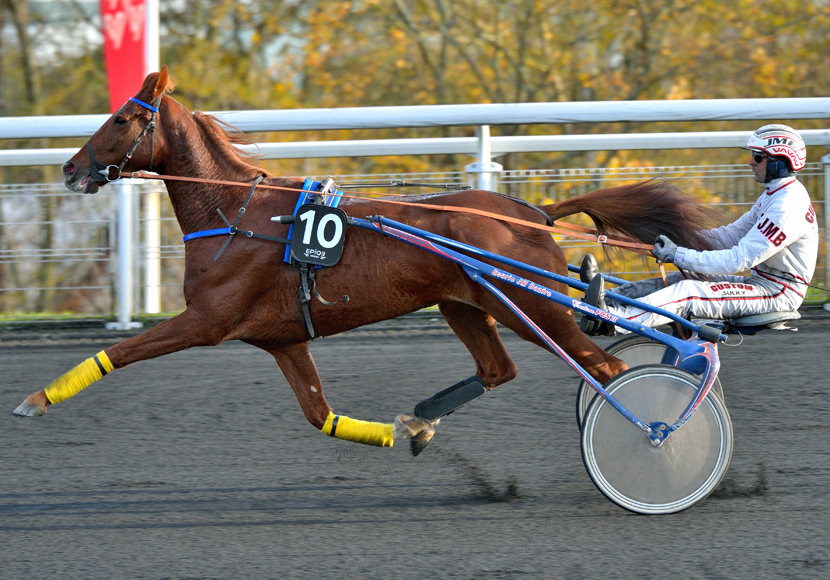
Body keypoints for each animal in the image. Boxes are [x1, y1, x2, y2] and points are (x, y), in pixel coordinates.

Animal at [13, 69, 720, 454]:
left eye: (123, 117)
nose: (70, 168)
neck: (237, 214)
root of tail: (531, 213)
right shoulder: (281, 339)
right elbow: (318, 413)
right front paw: (397, 433)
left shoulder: (207, 321)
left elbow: (121, 351)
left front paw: (35, 400)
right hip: (466, 304)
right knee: (501, 369)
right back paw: (422, 417)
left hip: (532, 304)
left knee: (607, 369)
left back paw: (651, 429)